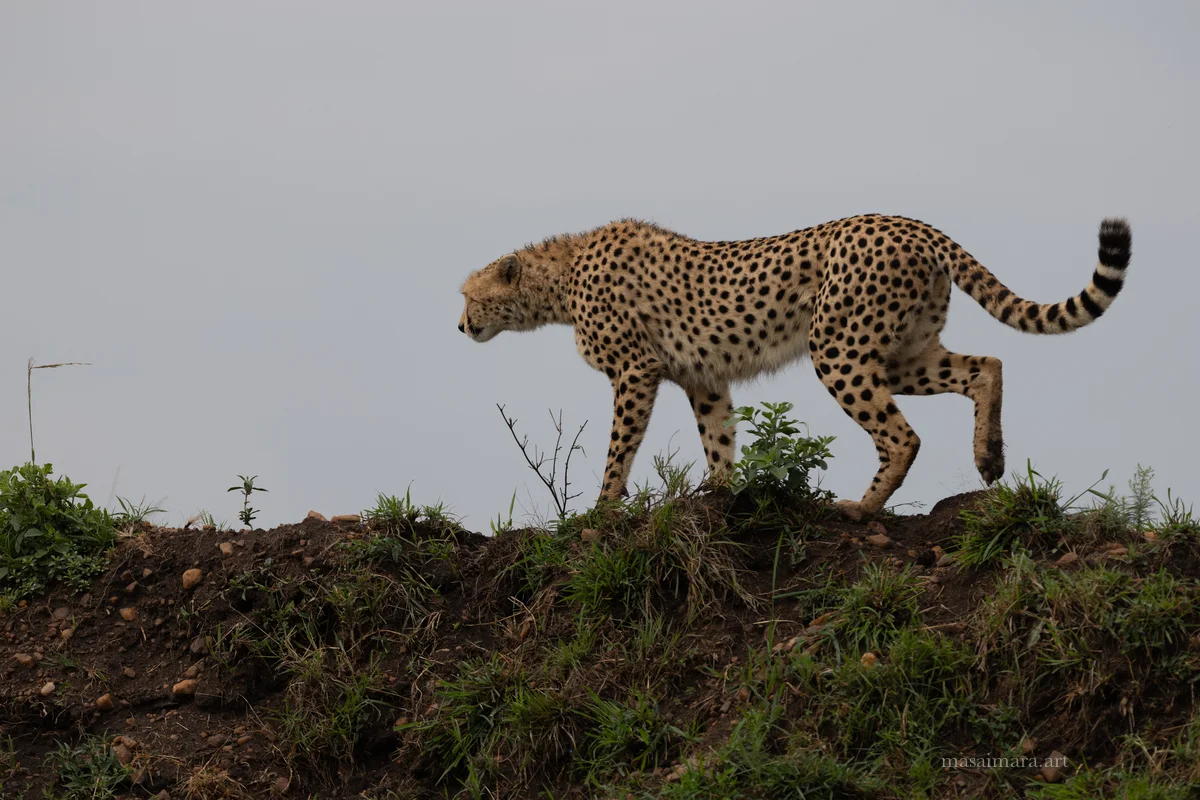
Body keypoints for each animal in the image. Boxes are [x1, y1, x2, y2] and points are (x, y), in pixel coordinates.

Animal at [458, 213, 1131, 520]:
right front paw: (720, 495)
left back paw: (861, 507)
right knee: (986, 363)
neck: (559, 277)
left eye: (467, 296)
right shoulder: (704, 378)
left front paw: (599, 513)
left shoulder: (635, 372)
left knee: (903, 435)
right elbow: (719, 438)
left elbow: (617, 449)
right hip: (898, 353)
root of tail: (908, 221)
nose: (460, 327)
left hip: (837, 349)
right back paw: (989, 457)